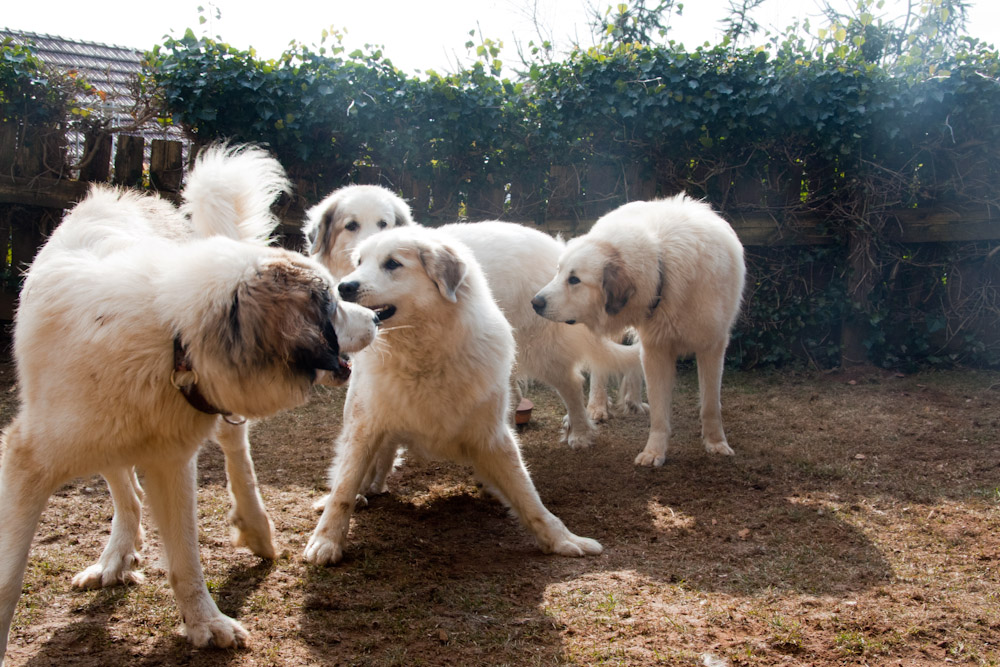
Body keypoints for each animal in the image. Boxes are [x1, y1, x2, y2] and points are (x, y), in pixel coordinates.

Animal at [0, 145, 378, 664]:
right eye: (332, 308)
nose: (376, 318)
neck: (172, 339)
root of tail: (123, 194)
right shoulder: (28, 462)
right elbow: (8, 580)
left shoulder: (171, 460)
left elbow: (185, 556)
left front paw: (205, 623)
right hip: (101, 435)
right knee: (124, 488)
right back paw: (116, 555)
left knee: (235, 453)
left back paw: (255, 528)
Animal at [302, 227, 600, 568]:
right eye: (360, 262)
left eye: (392, 264)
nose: (343, 286)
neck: (423, 353)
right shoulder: (366, 423)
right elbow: (344, 485)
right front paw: (327, 539)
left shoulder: (492, 433)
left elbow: (528, 494)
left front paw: (561, 539)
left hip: (544, 352)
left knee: (571, 385)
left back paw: (577, 433)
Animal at [536, 194, 748, 470]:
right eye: (558, 272)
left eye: (574, 280)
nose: (535, 302)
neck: (664, 265)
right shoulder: (656, 350)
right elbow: (659, 411)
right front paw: (654, 451)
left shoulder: (712, 346)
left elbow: (711, 405)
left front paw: (716, 443)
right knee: (600, 369)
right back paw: (597, 406)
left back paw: (633, 402)